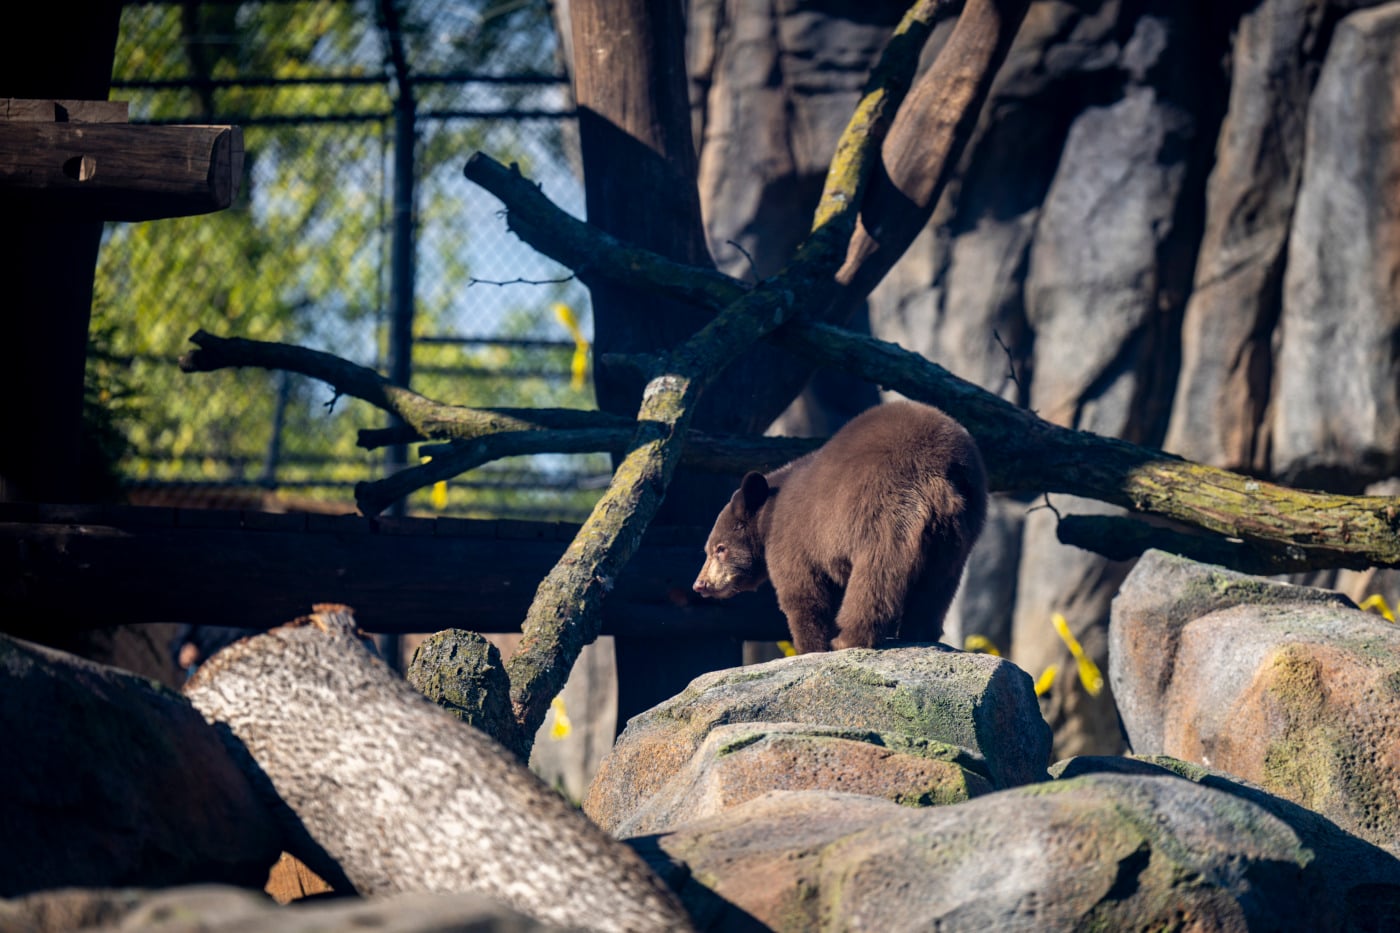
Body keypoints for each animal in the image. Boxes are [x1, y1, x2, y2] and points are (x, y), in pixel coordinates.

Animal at [692, 400, 987, 653]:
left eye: (720, 548)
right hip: (959, 527)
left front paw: (810, 647)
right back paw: (918, 633)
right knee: (938, 583)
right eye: (709, 549)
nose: (700, 584)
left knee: (875, 576)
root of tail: (937, 472)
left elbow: (803, 592)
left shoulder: (794, 536)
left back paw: (848, 638)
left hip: (881, 509)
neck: (769, 515)